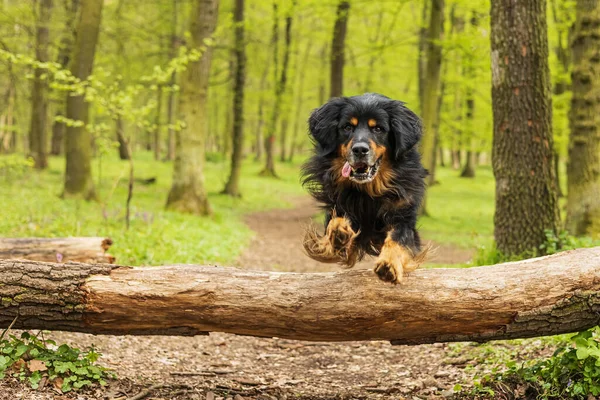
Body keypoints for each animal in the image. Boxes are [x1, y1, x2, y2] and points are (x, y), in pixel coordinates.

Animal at [302, 92, 428, 282]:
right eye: (347, 127)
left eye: (378, 129)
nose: (360, 150)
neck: (367, 192)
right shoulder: (337, 209)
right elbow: (334, 227)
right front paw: (339, 233)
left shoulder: (404, 217)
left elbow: (398, 239)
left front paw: (389, 263)